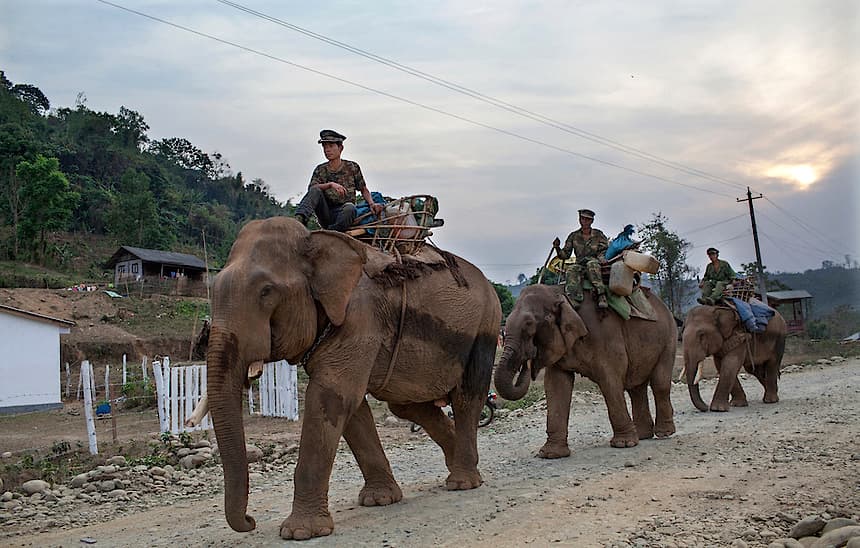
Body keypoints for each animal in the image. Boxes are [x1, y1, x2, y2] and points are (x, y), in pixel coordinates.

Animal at [205, 217, 501, 540]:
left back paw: (463, 482)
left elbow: (331, 395)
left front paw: (299, 532)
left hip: (486, 327)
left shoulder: (361, 317)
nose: (250, 520)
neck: (316, 241)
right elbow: (351, 405)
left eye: (266, 292)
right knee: (406, 405)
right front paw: (379, 501)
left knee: (466, 398)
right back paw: (457, 464)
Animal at [494, 284, 677, 458]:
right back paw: (643, 435)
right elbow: (556, 385)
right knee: (636, 388)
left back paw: (663, 433)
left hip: (669, 339)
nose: (528, 359)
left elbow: (610, 381)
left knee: (659, 383)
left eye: (529, 324)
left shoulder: (605, 336)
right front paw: (550, 454)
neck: (561, 294)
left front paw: (624, 444)